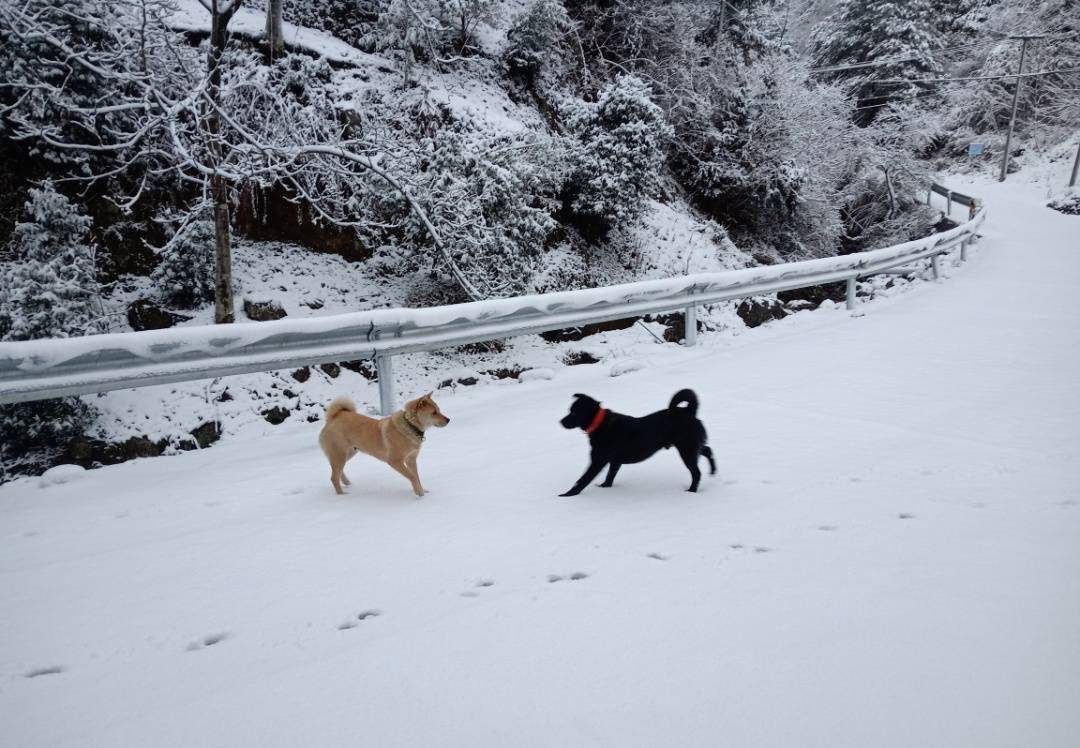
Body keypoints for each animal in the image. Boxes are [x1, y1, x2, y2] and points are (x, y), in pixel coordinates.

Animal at [315, 390, 449, 496]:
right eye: (434, 413)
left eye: (439, 410)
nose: (448, 420)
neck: (410, 426)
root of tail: (333, 418)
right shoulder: (395, 461)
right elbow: (412, 476)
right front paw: (419, 493)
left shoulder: (411, 460)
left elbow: (416, 477)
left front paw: (421, 490)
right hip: (340, 455)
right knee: (333, 477)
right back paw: (341, 495)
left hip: (349, 453)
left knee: (338, 471)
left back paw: (346, 482)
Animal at [557, 384, 717, 496]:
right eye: (569, 410)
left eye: (574, 412)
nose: (561, 422)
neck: (600, 423)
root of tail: (689, 412)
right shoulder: (614, 461)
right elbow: (610, 475)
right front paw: (605, 487)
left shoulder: (597, 461)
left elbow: (581, 481)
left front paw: (567, 495)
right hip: (691, 446)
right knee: (708, 450)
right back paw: (713, 471)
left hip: (687, 451)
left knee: (697, 473)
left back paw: (692, 491)